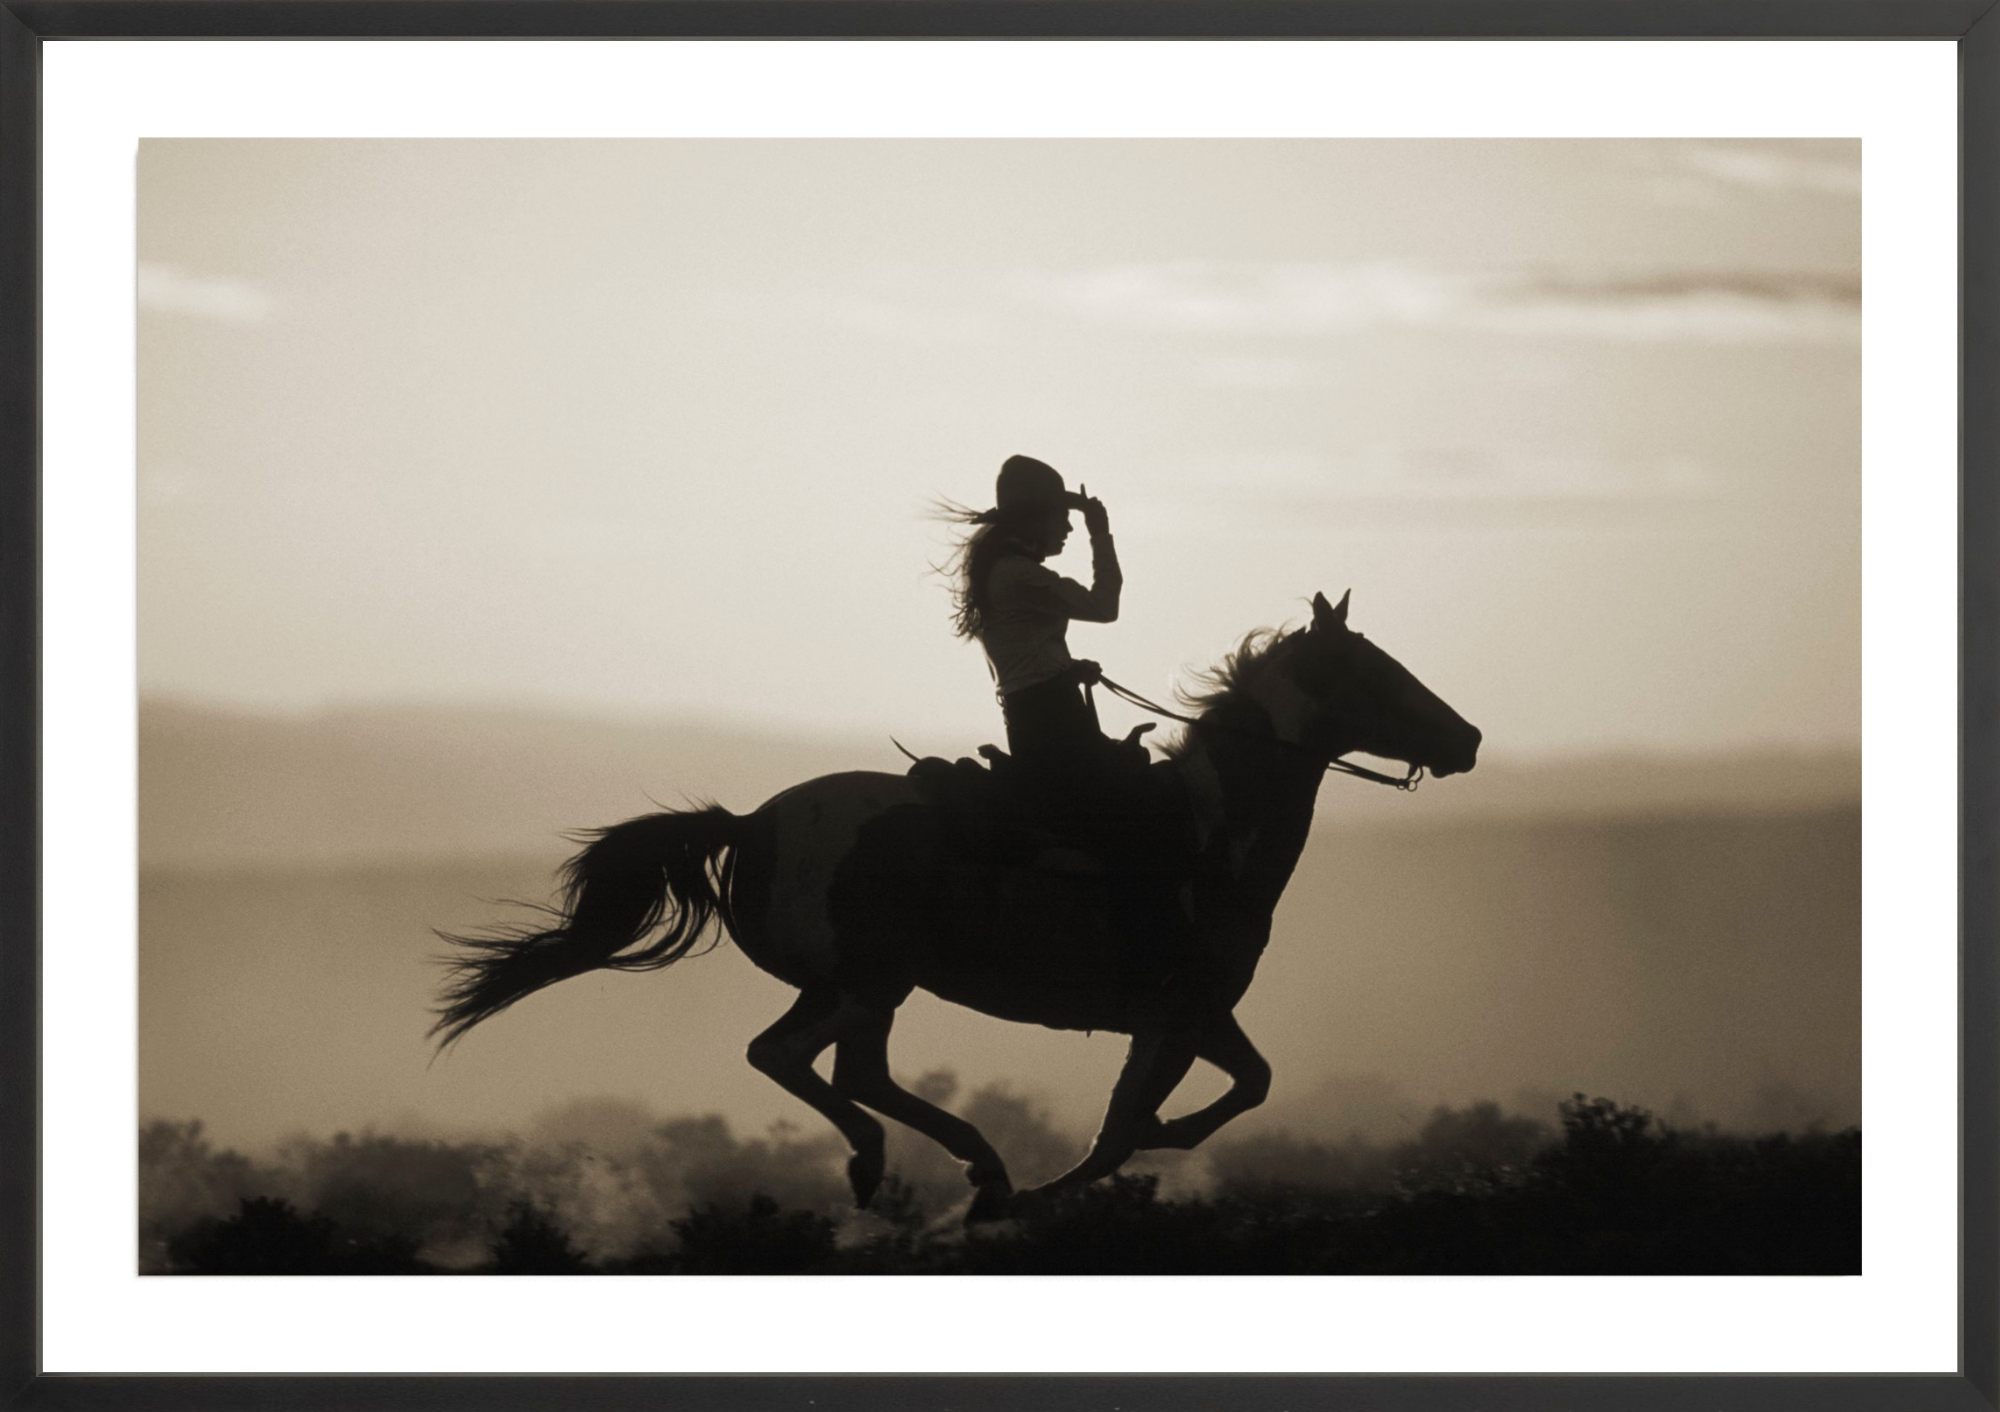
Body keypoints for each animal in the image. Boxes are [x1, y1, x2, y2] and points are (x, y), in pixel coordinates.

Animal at [434, 588, 1472, 1216]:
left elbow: (1210, 1093)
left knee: (831, 1067)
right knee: (815, 1065)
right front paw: (1108, 1162)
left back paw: (946, 1165)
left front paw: (1114, 1156)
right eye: (1380, 672)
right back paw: (939, 1164)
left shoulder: (1184, 1017)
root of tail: (754, 823)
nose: (1466, 738)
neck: (1212, 830)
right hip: (869, 983)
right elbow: (1153, 1117)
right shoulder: (1183, 1013)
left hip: (856, 989)